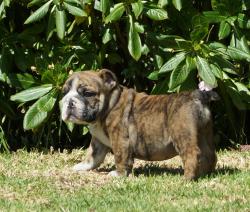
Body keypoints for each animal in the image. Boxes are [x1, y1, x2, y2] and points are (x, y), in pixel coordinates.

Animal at [61, 68, 218, 180]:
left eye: (87, 93)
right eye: (64, 92)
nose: (69, 102)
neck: (109, 106)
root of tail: (198, 95)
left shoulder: (120, 140)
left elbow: (120, 157)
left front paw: (119, 174)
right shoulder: (98, 141)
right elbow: (93, 156)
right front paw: (81, 166)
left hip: (182, 134)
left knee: (192, 154)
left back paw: (187, 178)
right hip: (205, 134)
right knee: (209, 154)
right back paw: (205, 174)